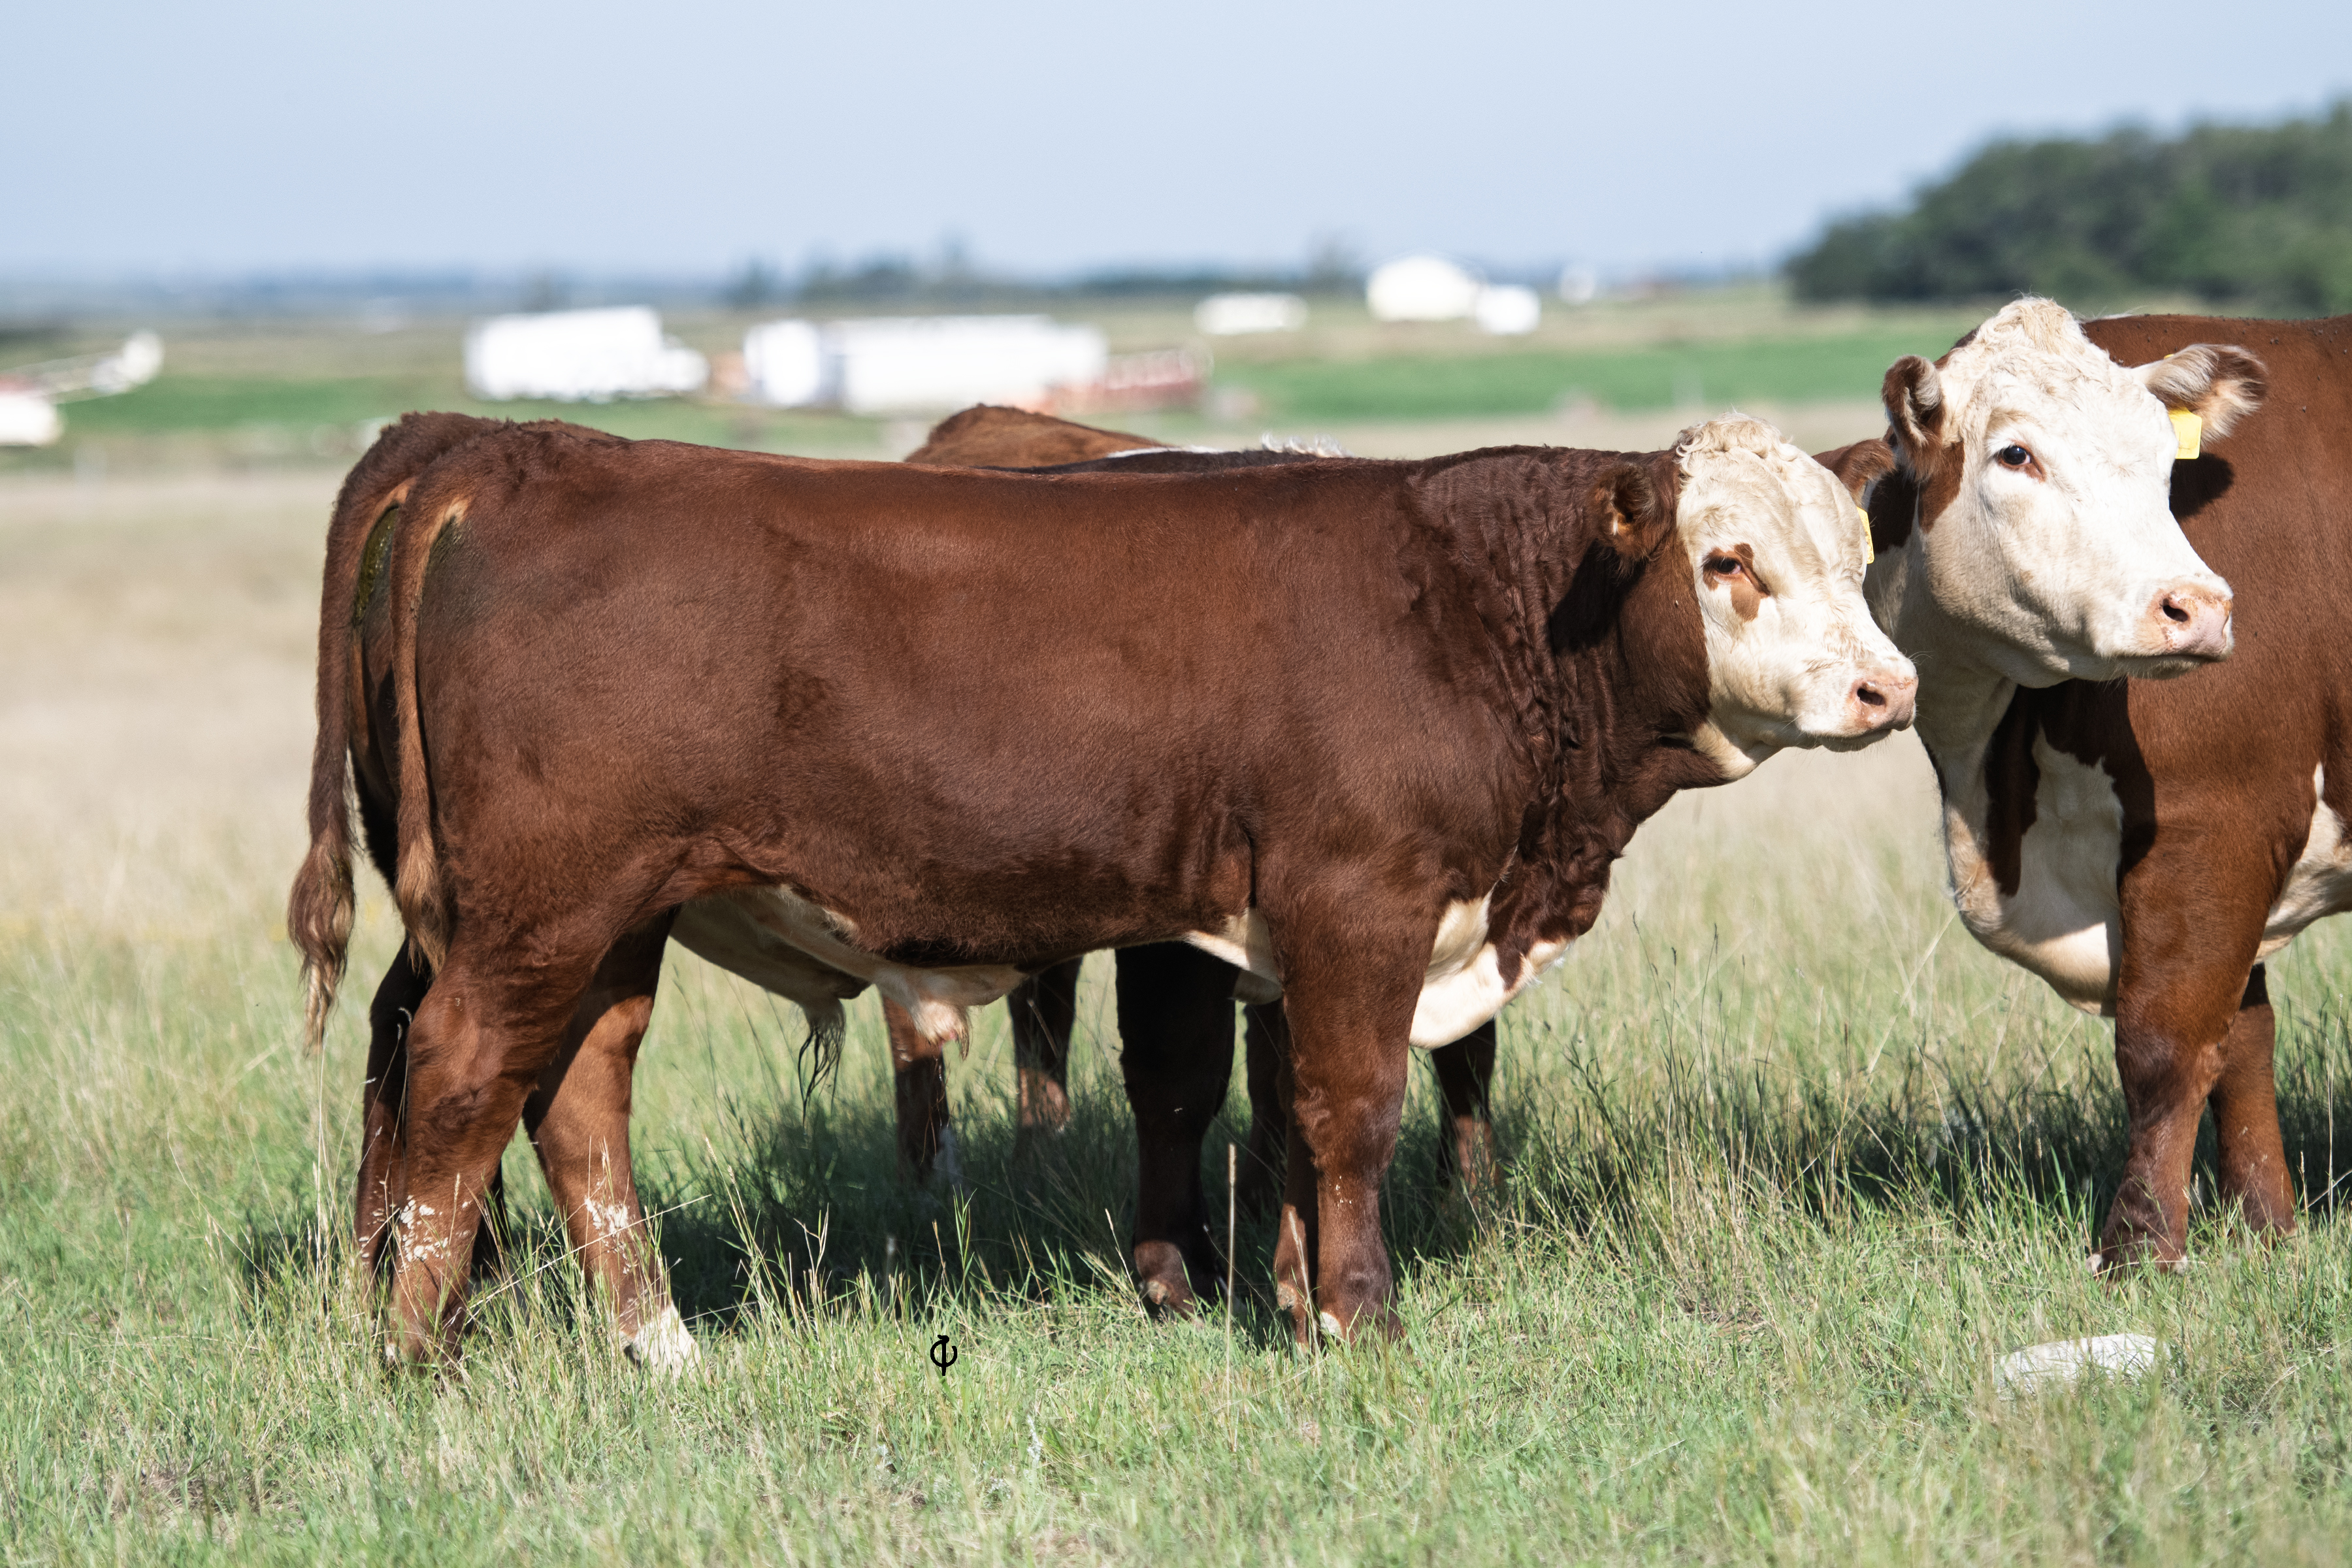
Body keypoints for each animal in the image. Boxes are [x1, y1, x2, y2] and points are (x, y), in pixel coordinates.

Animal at [289, 413, 1913, 1364]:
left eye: (1859, 556)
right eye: (1727, 558)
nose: (1884, 689)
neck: (1471, 608)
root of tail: (507, 447)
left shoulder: (1260, 932)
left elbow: (1264, 1113)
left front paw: (1286, 1298)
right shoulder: (1361, 902)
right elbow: (1350, 1110)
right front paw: (1361, 1321)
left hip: (610, 922)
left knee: (575, 1103)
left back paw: (656, 1346)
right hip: (538, 912)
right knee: (453, 1084)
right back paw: (416, 1353)